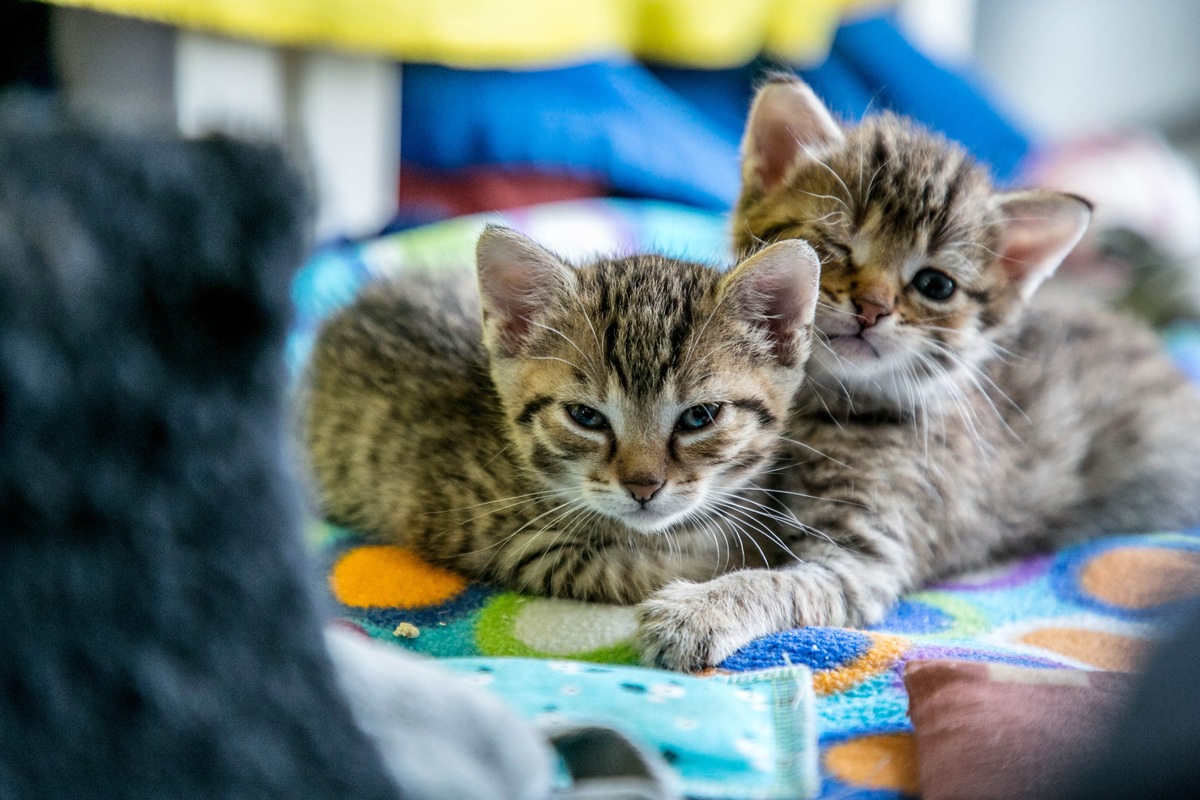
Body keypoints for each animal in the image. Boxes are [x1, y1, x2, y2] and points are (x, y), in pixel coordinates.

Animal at [304, 230, 820, 606]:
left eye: (700, 416)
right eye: (584, 416)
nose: (643, 487)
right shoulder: (490, 536)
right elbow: (631, 571)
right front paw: (737, 556)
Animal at [638, 77, 1200, 671]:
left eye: (934, 285)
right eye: (834, 248)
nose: (872, 307)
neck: (823, 406)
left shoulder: (865, 556)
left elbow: (780, 584)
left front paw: (698, 611)